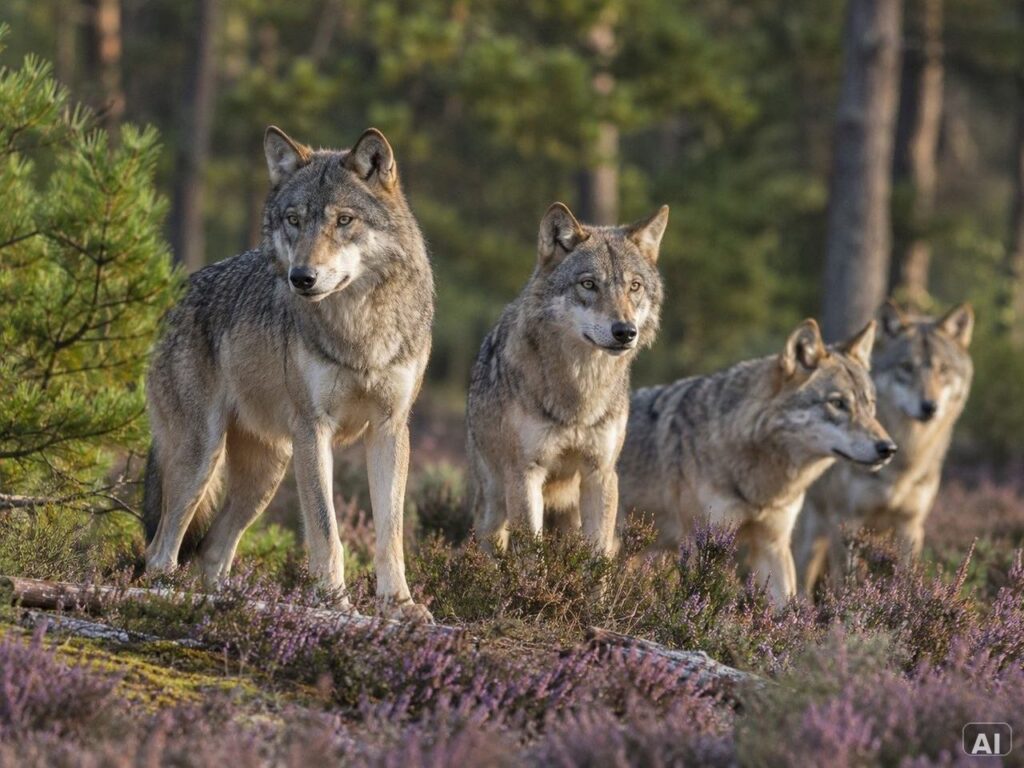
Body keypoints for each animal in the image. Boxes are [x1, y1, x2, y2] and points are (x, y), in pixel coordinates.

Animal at [143, 126, 434, 621]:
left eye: (343, 220)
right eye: (294, 220)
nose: (302, 277)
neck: (361, 327)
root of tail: (172, 298)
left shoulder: (390, 428)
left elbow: (390, 534)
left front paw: (399, 605)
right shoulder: (313, 429)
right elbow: (326, 530)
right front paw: (334, 603)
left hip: (267, 475)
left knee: (212, 549)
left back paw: (229, 603)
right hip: (202, 458)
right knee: (161, 549)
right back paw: (164, 596)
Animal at [466, 202, 668, 553]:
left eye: (634, 286)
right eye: (588, 284)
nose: (625, 331)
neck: (580, 392)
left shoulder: (601, 473)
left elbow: (597, 555)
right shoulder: (525, 474)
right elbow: (531, 555)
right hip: (493, 504)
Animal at [795, 302, 974, 594]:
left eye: (943, 369)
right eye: (906, 367)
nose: (930, 406)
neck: (905, 463)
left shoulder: (910, 526)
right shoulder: (847, 522)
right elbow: (845, 584)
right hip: (809, 532)